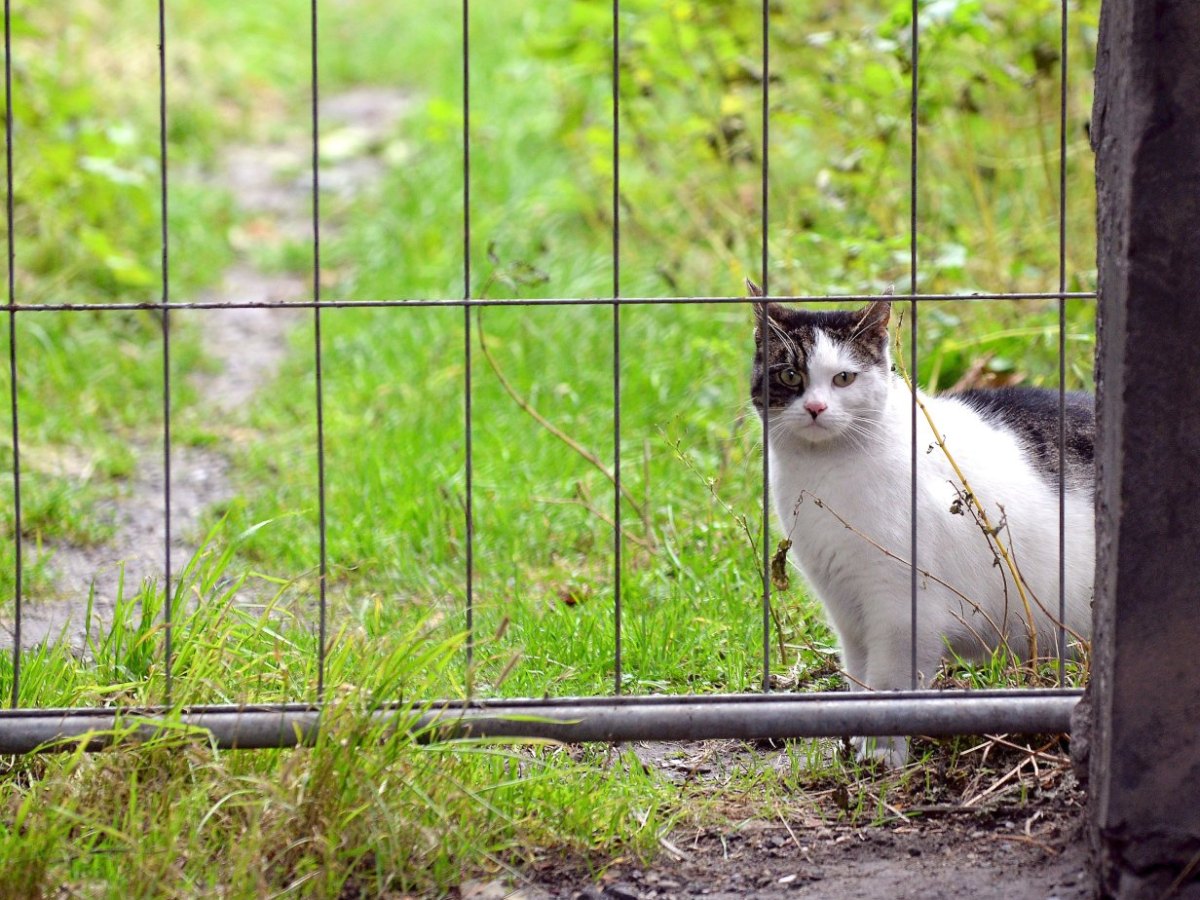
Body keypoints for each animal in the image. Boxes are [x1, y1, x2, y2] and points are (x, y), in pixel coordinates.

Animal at [748, 283, 1099, 768]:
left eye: (843, 379)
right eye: (788, 376)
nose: (816, 407)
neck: (824, 472)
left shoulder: (902, 610)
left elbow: (889, 685)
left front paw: (881, 755)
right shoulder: (845, 606)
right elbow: (859, 677)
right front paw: (854, 746)